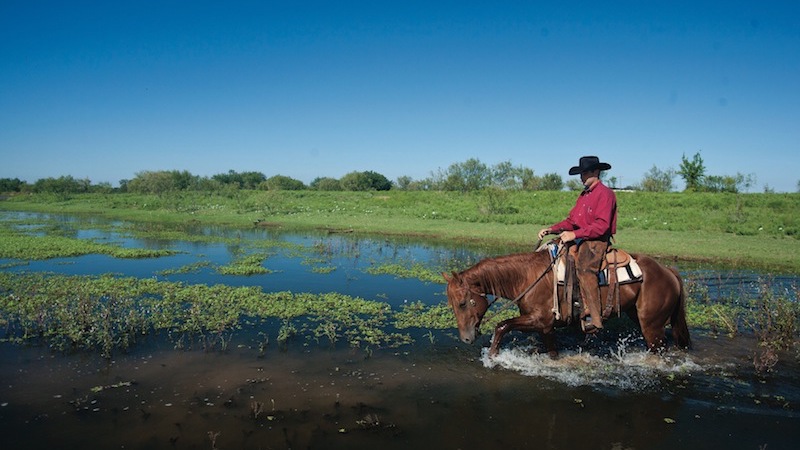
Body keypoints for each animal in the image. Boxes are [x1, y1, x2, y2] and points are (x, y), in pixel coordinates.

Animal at [443, 246, 691, 357]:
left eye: (463, 303)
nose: (466, 338)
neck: (527, 277)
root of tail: (667, 271)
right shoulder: (546, 327)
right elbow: (552, 352)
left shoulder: (540, 320)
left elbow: (502, 325)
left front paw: (493, 356)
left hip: (652, 327)